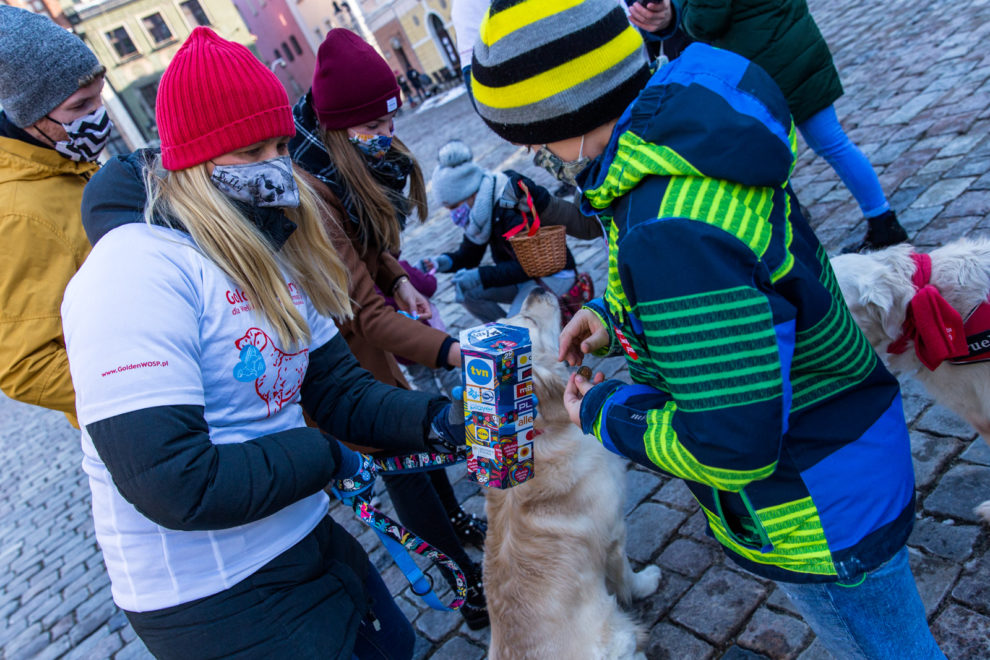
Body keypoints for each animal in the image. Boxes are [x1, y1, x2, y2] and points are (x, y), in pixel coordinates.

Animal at [482, 290, 664, 660]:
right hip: (616, 635)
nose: (536, 289)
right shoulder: (613, 534)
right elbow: (625, 576)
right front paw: (646, 582)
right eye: (529, 320)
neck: (537, 436)